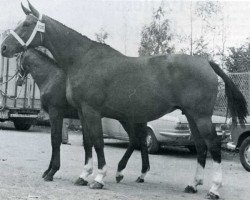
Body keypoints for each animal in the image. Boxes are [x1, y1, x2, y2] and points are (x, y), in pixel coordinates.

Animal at [17, 48, 148, 184]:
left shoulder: (55, 113)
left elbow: (55, 140)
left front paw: (51, 172)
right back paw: (140, 175)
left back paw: (122, 172)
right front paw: (47, 171)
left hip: (127, 120)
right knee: (141, 142)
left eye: (17, 58)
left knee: (135, 140)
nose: (19, 81)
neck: (51, 77)